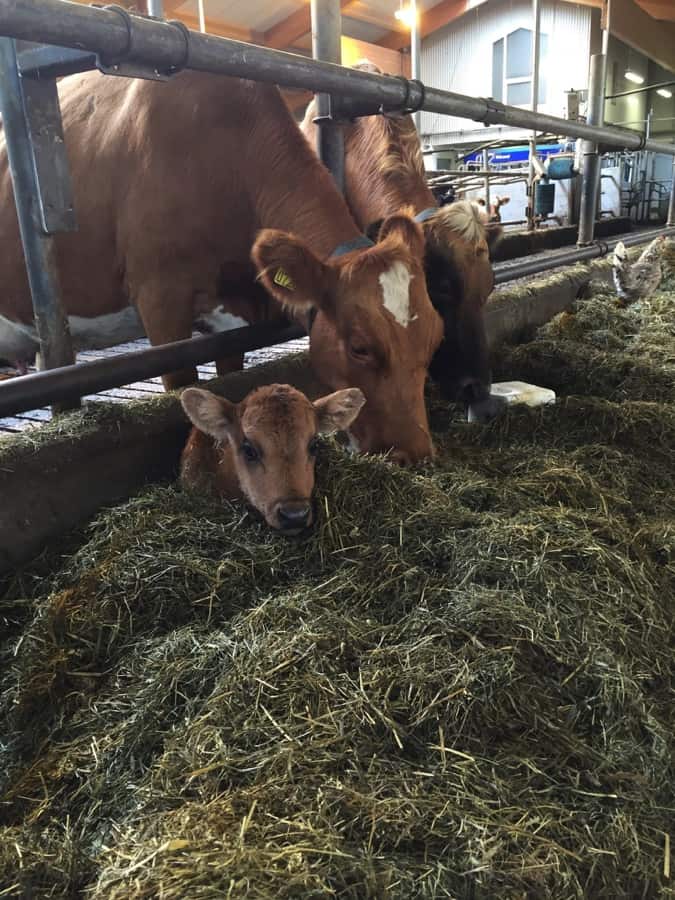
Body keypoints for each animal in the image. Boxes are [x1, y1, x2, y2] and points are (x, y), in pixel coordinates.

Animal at [0, 70, 440, 460]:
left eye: (436, 337)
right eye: (360, 347)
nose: (415, 454)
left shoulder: (236, 309)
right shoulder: (160, 298)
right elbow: (180, 387)